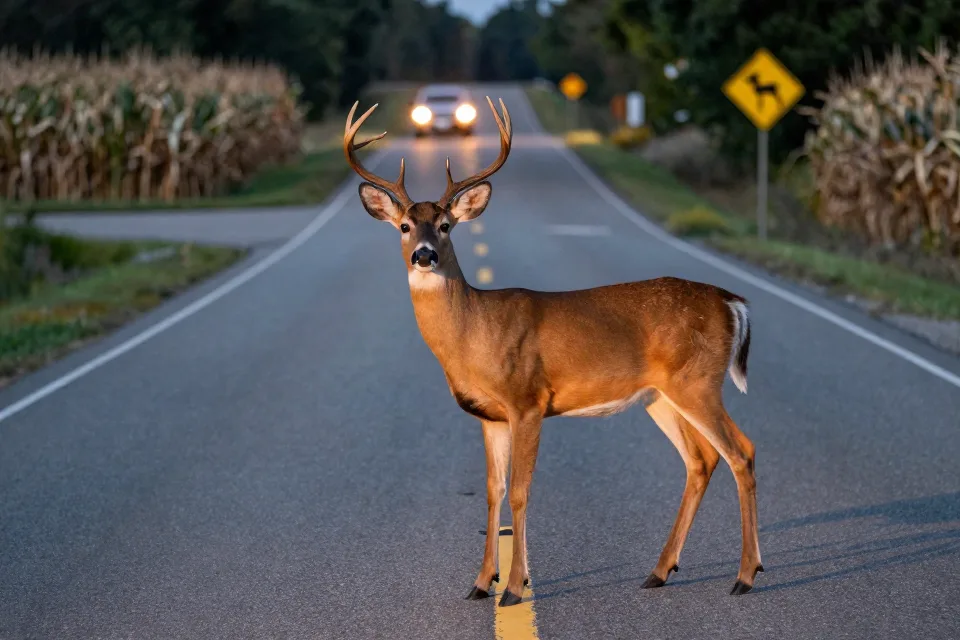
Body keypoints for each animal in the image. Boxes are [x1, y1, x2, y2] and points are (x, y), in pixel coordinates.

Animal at [343, 97, 762, 607]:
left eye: (445, 226)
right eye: (404, 226)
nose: (424, 255)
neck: (473, 333)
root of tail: (731, 301)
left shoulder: (527, 400)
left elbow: (521, 491)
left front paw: (514, 587)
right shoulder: (489, 415)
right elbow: (494, 491)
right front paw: (480, 583)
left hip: (698, 381)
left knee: (742, 451)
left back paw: (745, 575)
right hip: (661, 395)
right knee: (701, 461)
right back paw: (660, 571)